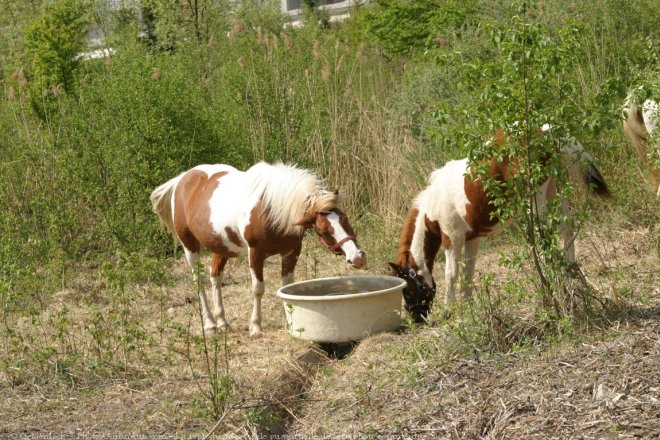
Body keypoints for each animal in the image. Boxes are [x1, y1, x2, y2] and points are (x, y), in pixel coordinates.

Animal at [150, 160, 366, 336]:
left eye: (344, 218)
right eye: (323, 230)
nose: (358, 257)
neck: (271, 209)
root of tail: (182, 179)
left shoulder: (291, 252)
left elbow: (286, 287)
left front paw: (290, 322)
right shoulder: (255, 254)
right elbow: (258, 289)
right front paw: (255, 327)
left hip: (221, 247)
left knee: (215, 278)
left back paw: (223, 322)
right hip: (189, 245)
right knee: (199, 281)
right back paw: (210, 324)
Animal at [390, 129, 612, 322]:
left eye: (406, 290)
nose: (417, 318)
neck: (434, 205)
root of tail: (544, 129)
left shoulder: (452, 239)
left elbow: (451, 274)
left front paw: (448, 311)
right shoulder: (472, 239)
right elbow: (468, 273)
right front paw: (468, 308)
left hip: (535, 198)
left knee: (544, 235)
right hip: (554, 189)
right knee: (566, 228)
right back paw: (572, 274)